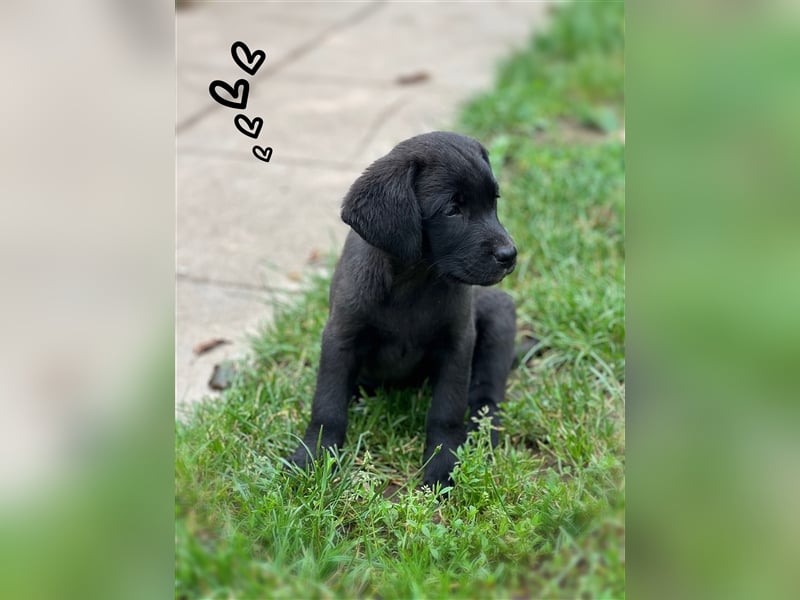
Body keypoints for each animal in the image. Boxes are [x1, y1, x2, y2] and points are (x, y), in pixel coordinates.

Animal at [288, 131, 520, 488]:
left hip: (500, 316)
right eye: (452, 210)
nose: (510, 255)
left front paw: (442, 466)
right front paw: (313, 455)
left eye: (493, 201)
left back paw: (484, 436)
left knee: (486, 398)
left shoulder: (458, 343)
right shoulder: (341, 337)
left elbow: (446, 410)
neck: (413, 282)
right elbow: (327, 405)